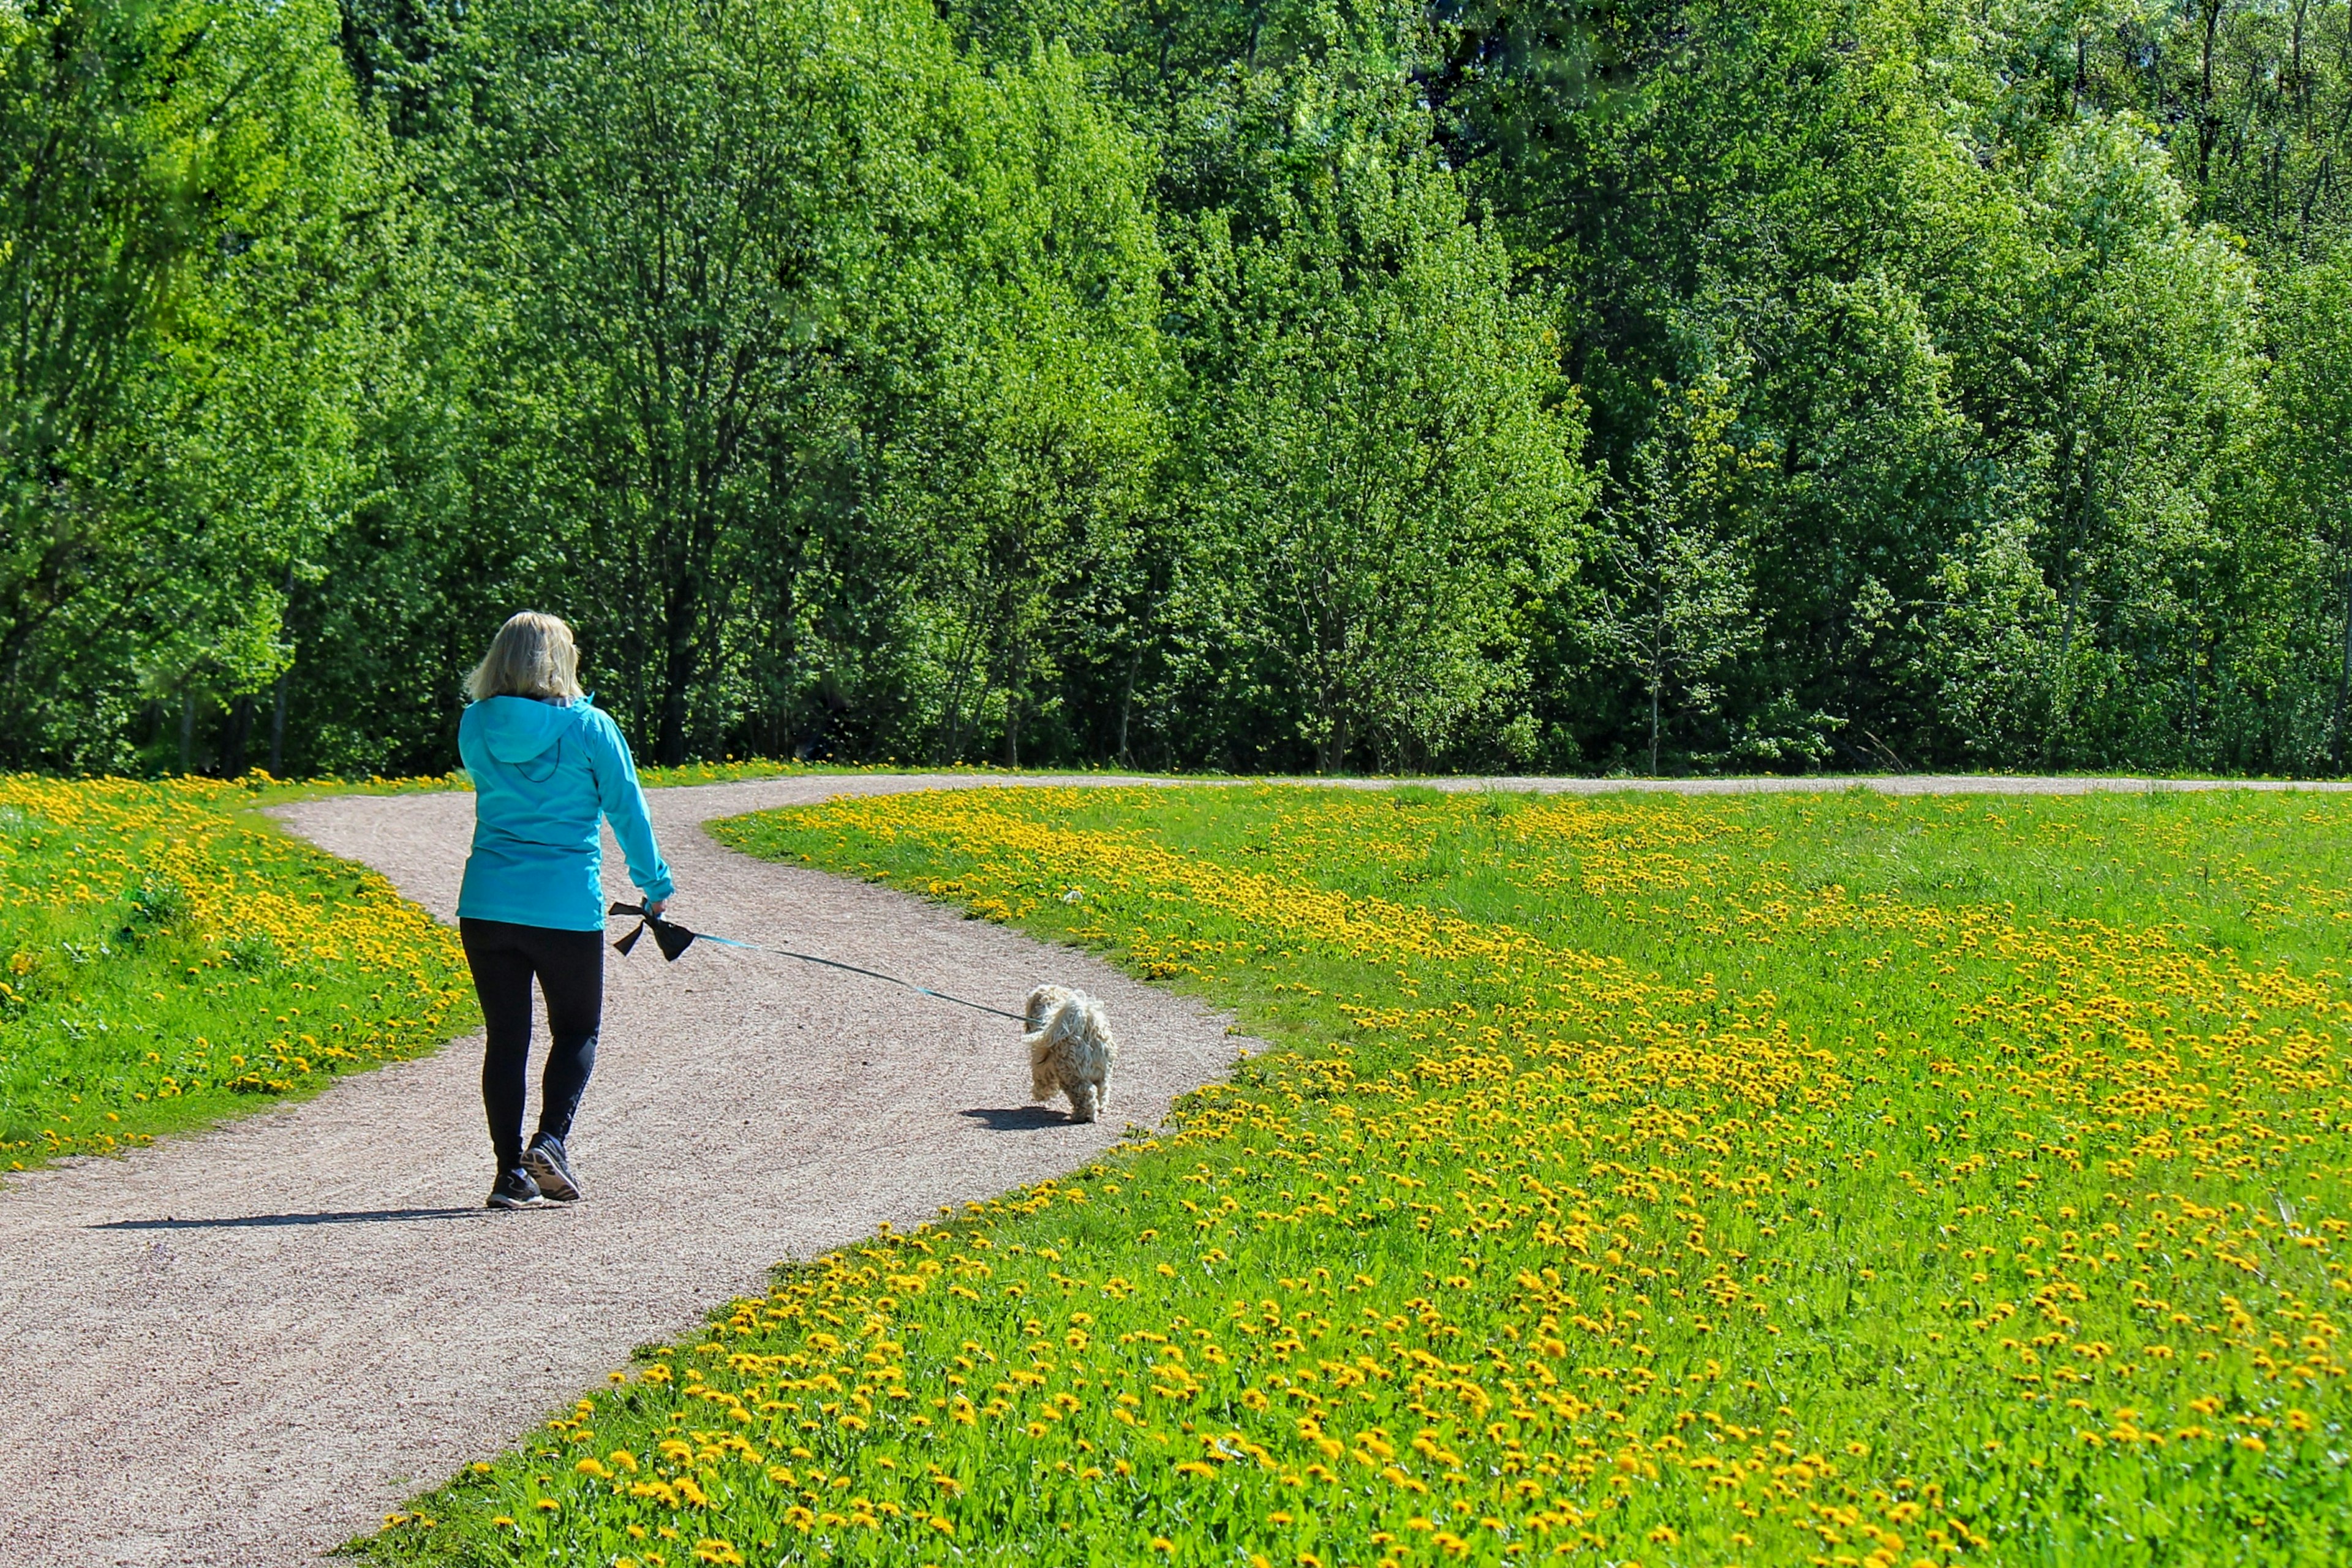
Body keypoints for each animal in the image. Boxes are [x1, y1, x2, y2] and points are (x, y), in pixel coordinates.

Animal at [1020, 987, 1110, 1123]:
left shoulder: (1042, 1063)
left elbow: (1042, 1079)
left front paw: (1040, 1095)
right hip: (1101, 1073)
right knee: (1102, 1090)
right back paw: (1100, 1108)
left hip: (1071, 1075)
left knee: (1086, 1095)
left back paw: (1083, 1116)